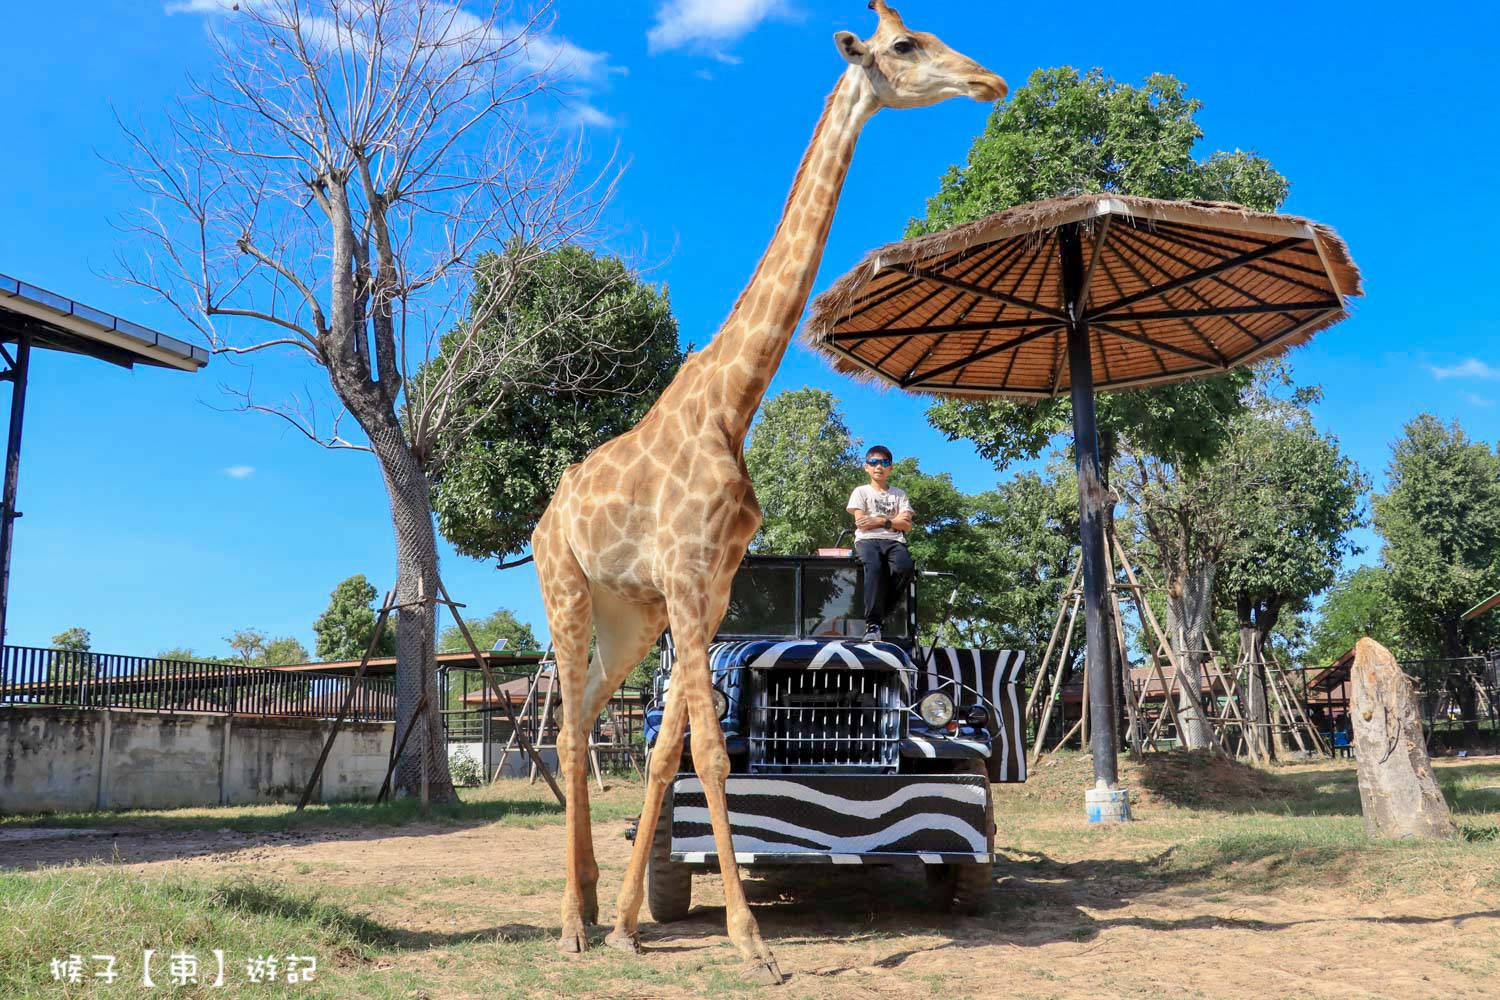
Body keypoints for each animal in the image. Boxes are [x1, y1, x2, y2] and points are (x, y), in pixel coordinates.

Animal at [531, 1, 1008, 983]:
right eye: (904, 45)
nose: (989, 81)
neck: (732, 403)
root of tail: (545, 517)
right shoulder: (689, 578)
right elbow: (709, 755)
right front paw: (752, 942)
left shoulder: (704, 588)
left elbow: (672, 750)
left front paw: (633, 924)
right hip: (566, 587)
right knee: (565, 728)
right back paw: (566, 925)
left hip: (628, 615)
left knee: (591, 717)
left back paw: (593, 909)